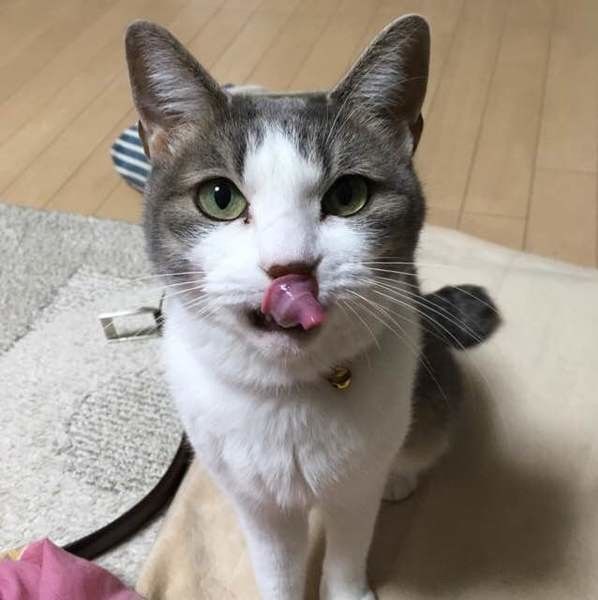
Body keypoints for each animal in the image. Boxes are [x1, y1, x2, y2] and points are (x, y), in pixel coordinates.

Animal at [125, 15, 499, 600]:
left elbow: (348, 551)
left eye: (349, 196)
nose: (290, 268)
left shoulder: (355, 486)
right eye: (219, 198)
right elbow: (277, 564)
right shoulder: (254, 499)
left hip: (432, 397)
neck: (289, 392)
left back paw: (401, 475)